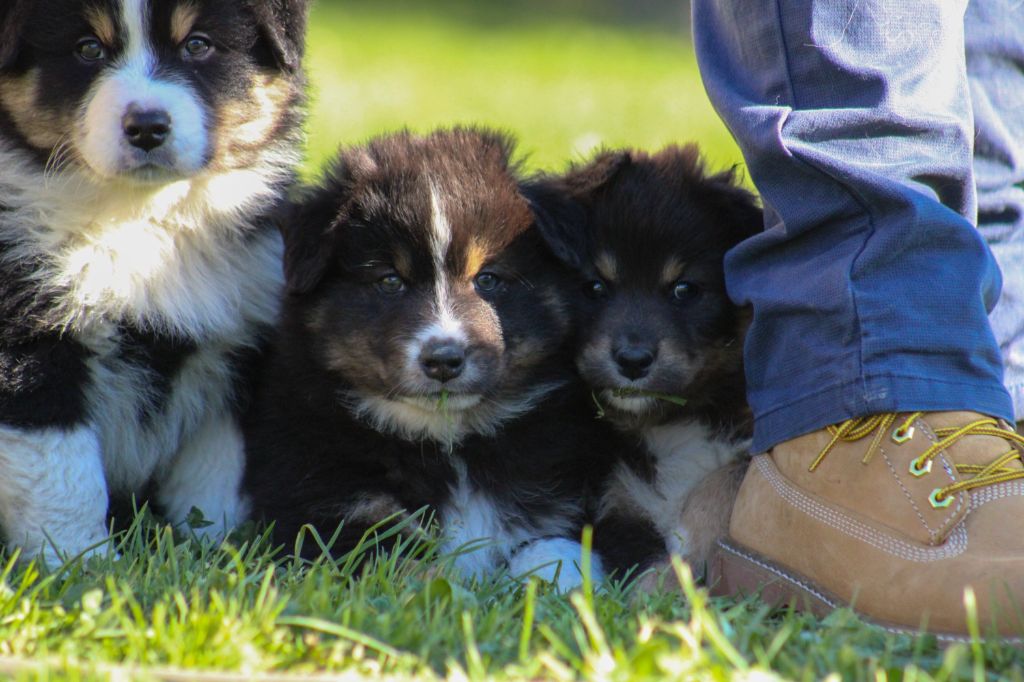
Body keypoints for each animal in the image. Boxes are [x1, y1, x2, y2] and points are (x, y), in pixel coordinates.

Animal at [0, 0, 307, 561]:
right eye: (88, 49)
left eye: (198, 45)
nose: (146, 127)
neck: (141, 217)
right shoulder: (29, 342)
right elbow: (62, 472)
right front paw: (79, 561)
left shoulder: (240, 341)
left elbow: (214, 469)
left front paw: (212, 550)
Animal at [245, 129, 622, 589]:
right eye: (390, 281)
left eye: (488, 279)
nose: (444, 360)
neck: (449, 442)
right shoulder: (326, 510)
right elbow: (403, 566)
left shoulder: (557, 494)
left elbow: (553, 548)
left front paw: (560, 586)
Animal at [532, 146, 765, 577]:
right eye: (594, 286)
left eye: (684, 289)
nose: (633, 361)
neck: (671, 425)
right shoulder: (618, 503)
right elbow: (648, 565)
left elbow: (724, 482)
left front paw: (691, 545)